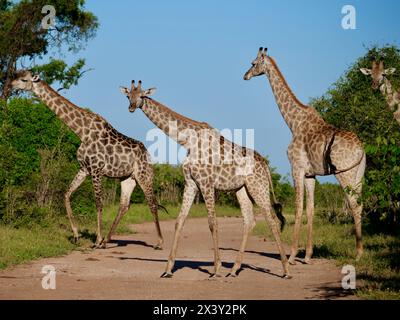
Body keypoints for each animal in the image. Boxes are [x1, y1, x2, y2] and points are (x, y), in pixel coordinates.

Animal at [10, 71, 164, 249]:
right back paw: (108, 241)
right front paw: (77, 236)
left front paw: (97, 239)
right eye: (17, 75)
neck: (81, 131)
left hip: (144, 176)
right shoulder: (84, 169)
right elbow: (66, 194)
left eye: (24, 79)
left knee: (152, 203)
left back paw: (159, 242)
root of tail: (148, 155)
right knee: (124, 205)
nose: (11, 85)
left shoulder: (96, 169)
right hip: (127, 178)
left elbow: (98, 202)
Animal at [119, 79, 290, 278]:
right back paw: (234, 269)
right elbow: (179, 221)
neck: (187, 141)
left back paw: (286, 270)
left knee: (272, 220)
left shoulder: (206, 183)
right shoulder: (191, 183)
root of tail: (265, 165)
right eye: (127, 96)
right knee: (249, 220)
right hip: (242, 189)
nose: (131, 107)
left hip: (258, 187)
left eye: (142, 95)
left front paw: (216, 269)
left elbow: (212, 222)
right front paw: (168, 269)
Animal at [242, 47, 368, 262]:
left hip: (345, 173)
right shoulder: (311, 174)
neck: (293, 123)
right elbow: (310, 209)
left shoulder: (297, 168)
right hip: (359, 173)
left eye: (253, 63)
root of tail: (361, 149)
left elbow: (298, 208)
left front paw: (292, 255)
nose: (245, 76)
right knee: (359, 202)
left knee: (354, 204)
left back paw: (358, 254)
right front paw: (308, 255)